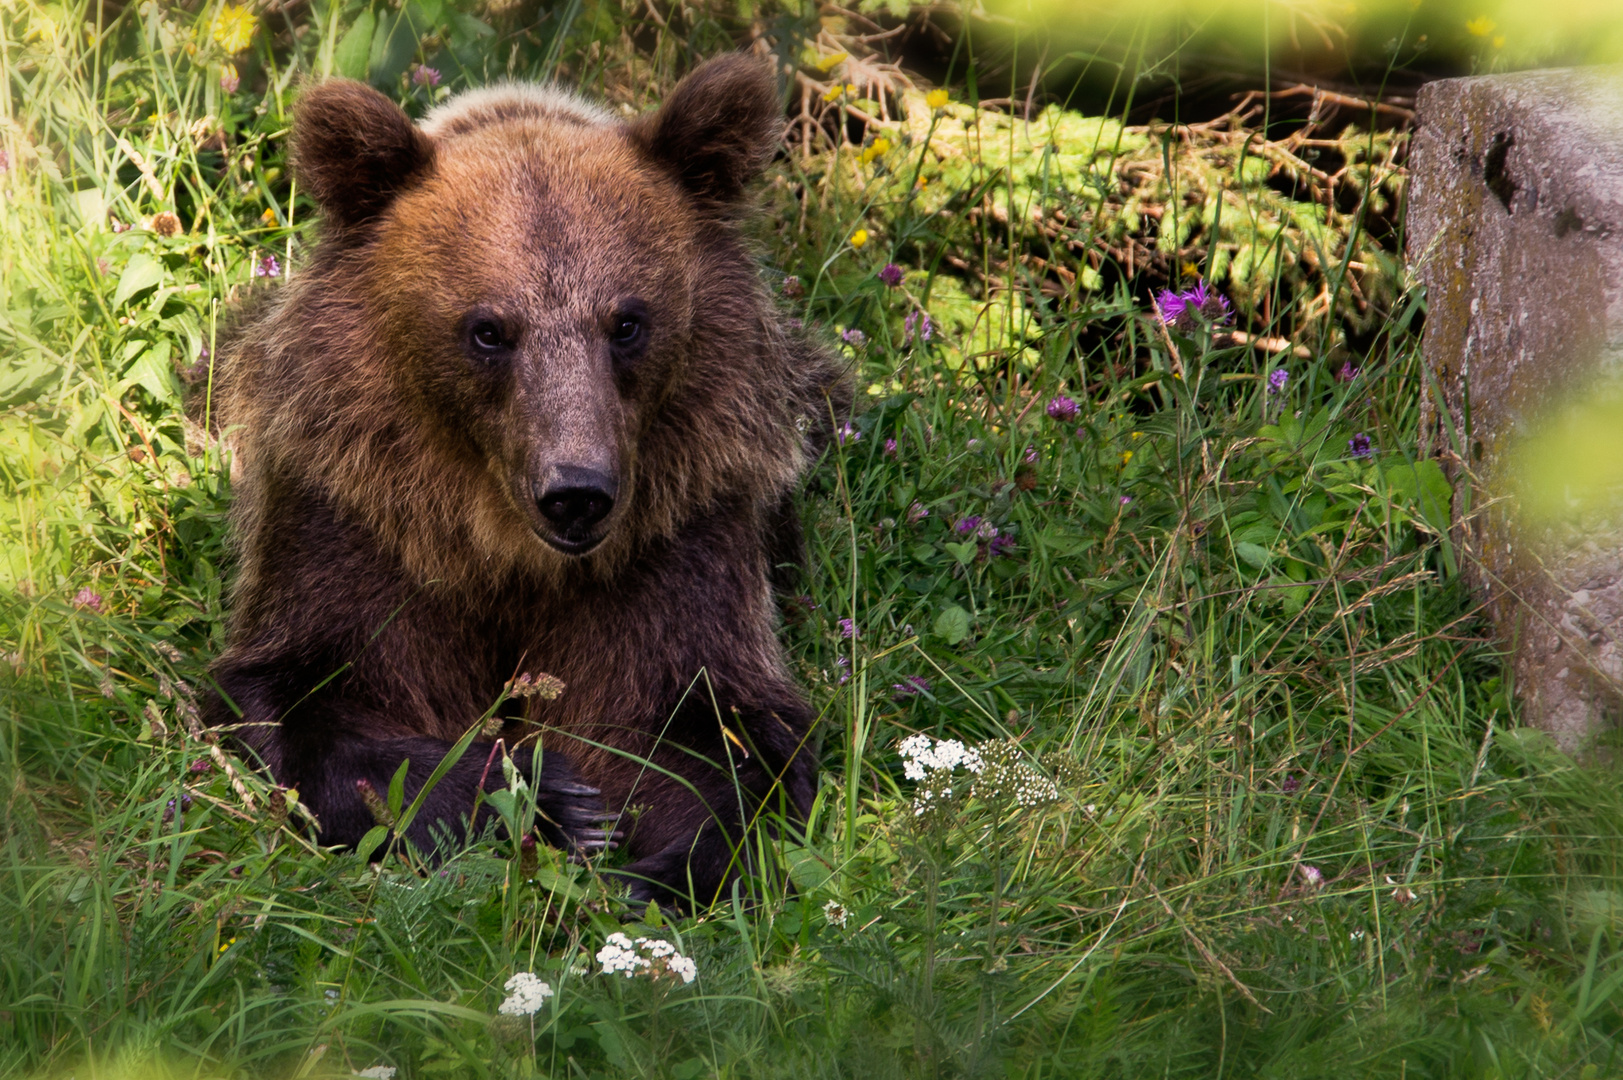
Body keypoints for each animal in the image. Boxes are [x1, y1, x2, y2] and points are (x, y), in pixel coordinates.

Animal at [206, 52, 850, 909]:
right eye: (487, 329)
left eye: (627, 321)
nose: (575, 492)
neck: (506, 551)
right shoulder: (356, 519)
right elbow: (317, 697)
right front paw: (548, 802)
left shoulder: (676, 535)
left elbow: (706, 722)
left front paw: (663, 868)